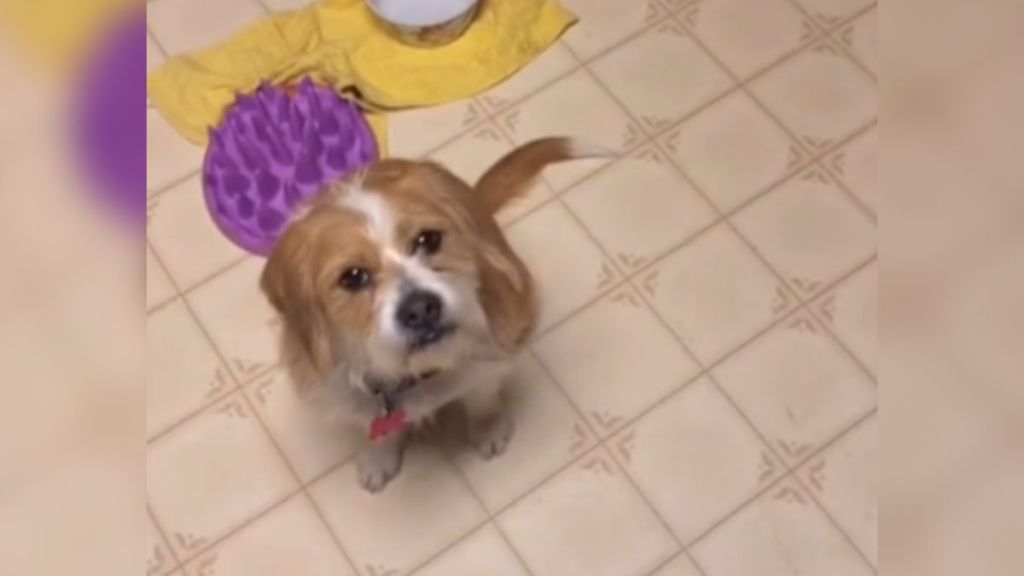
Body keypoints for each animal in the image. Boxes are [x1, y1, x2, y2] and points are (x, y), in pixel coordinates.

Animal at [260, 136, 602, 491]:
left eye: (428, 239)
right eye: (352, 277)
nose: (421, 309)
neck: (419, 373)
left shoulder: (492, 355)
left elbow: (482, 397)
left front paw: (488, 428)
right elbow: (375, 429)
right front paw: (378, 458)